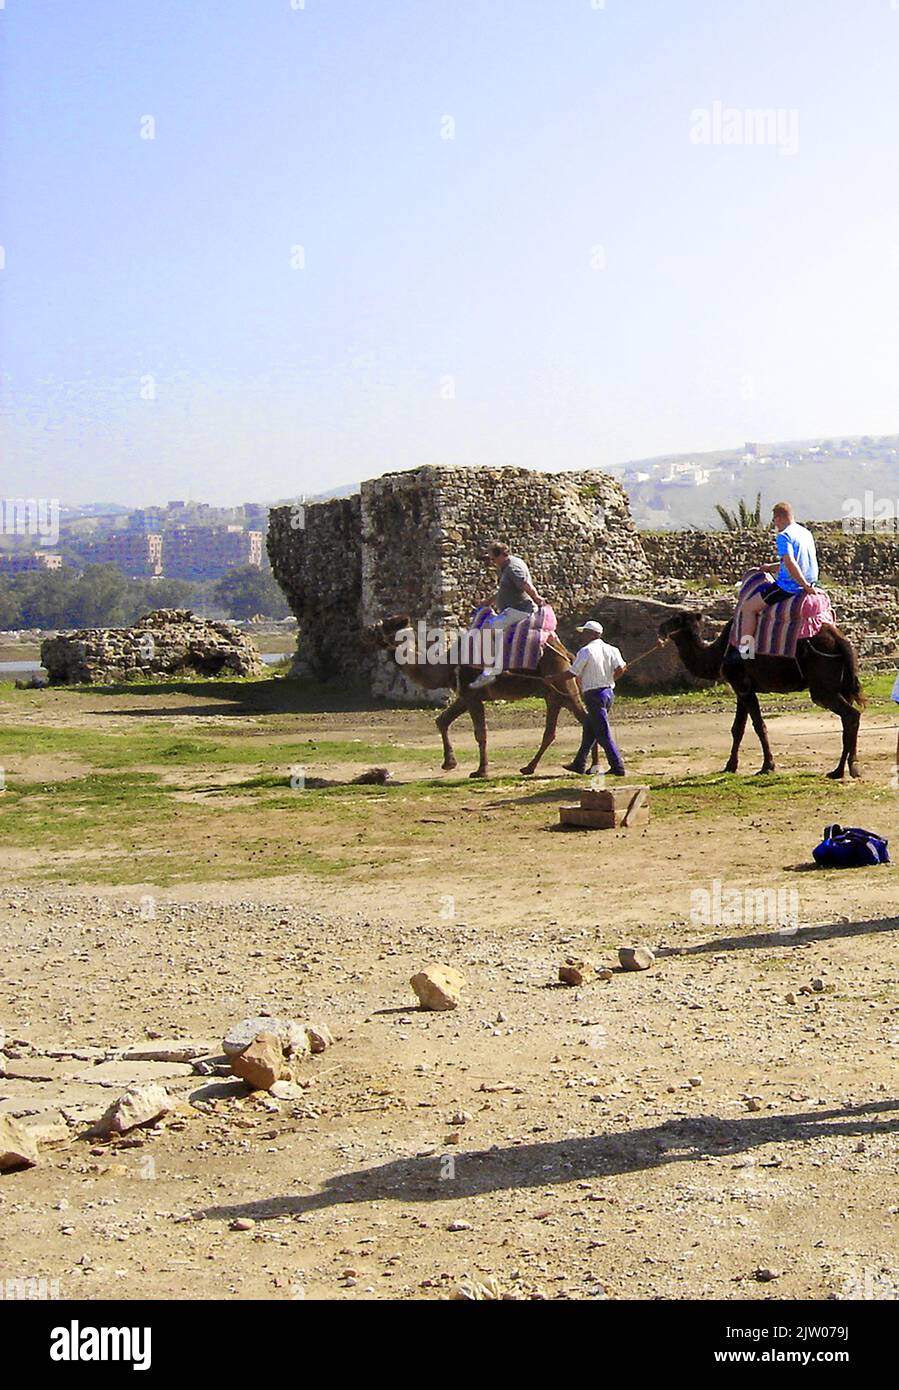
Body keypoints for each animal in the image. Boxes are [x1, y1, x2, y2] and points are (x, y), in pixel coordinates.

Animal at [366, 614, 597, 778]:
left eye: (387, 624)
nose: (368, 629)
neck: (447, 666)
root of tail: (566, 654)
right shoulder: (464, 696)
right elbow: (442, 721)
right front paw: (449, 763)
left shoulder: (472, 696)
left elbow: (480, 733)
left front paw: (480, 771)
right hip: (552, 693)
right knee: (551, 731)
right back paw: (530, 768)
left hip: (563, 685)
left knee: (587, 721)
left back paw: (589, 767)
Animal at [661, 611, 867, 783]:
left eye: (676, 619)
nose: (660, 627)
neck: (719, 653)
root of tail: (841, 640)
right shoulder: (741, 689)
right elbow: (738, 728)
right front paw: (730, 766)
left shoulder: (741, 685)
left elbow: (759, 726)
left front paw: (767, 766)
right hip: (843, 686)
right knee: (848, 719)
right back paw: (845, 769)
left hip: (822, 687)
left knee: (850, 715)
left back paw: (843, 770)